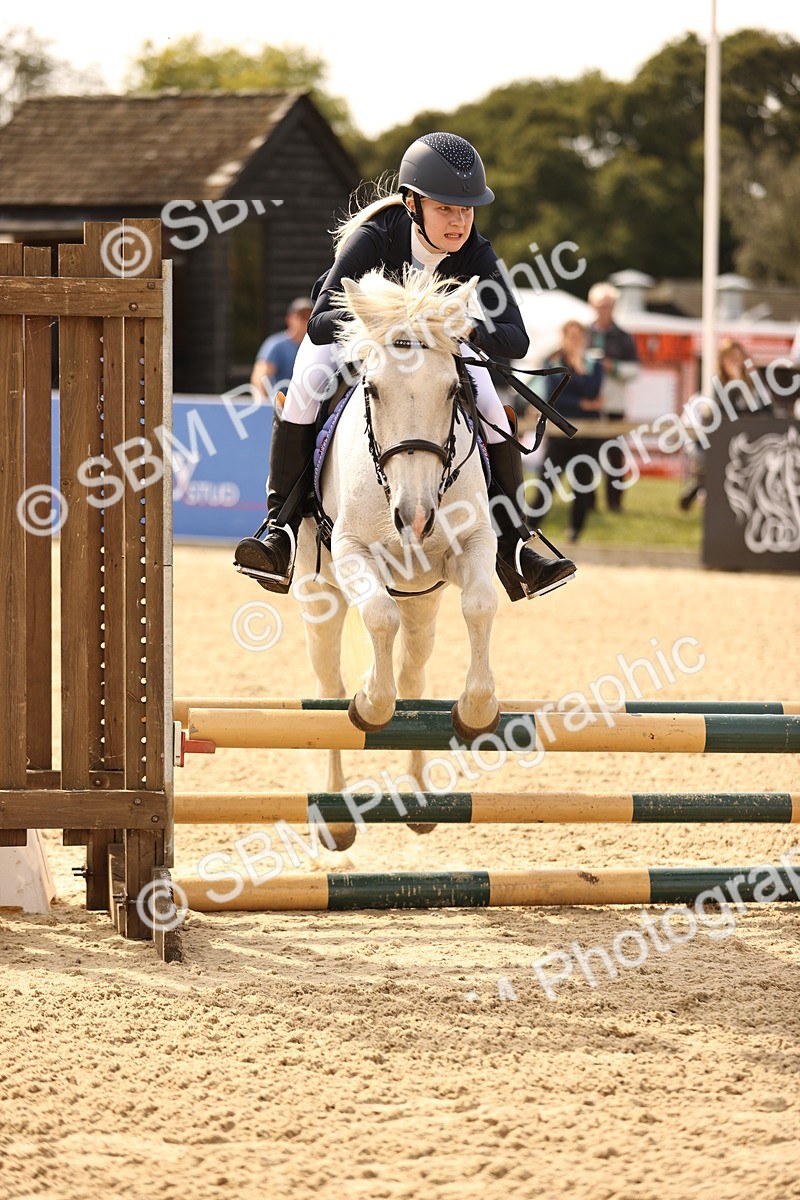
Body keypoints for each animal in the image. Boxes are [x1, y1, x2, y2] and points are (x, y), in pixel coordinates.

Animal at [292, 267, 501, 850]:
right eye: (374, 389)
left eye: (453, 390)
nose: (415, 515)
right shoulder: (351, 553)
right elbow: (378, 620)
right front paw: (370, 704)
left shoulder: (474, 545)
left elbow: (480, 606)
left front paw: (476, 710)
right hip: (318, 598)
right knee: (327, 690)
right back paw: (335, 815)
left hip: (423, 602)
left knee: (413, 678)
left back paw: (421, 796)